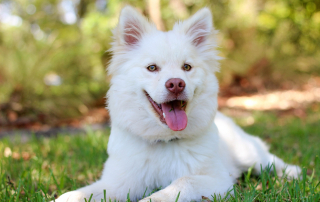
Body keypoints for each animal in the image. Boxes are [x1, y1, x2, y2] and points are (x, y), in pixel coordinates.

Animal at [56, 6, 302, 202]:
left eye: (186, 67)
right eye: (152, 68)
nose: (176, 84)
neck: (165, 141)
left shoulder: (218, 180)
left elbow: (180, 183)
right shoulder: (118, 183)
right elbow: (84, 192)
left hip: (248, 154)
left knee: (270, 161)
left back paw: (293, 172)